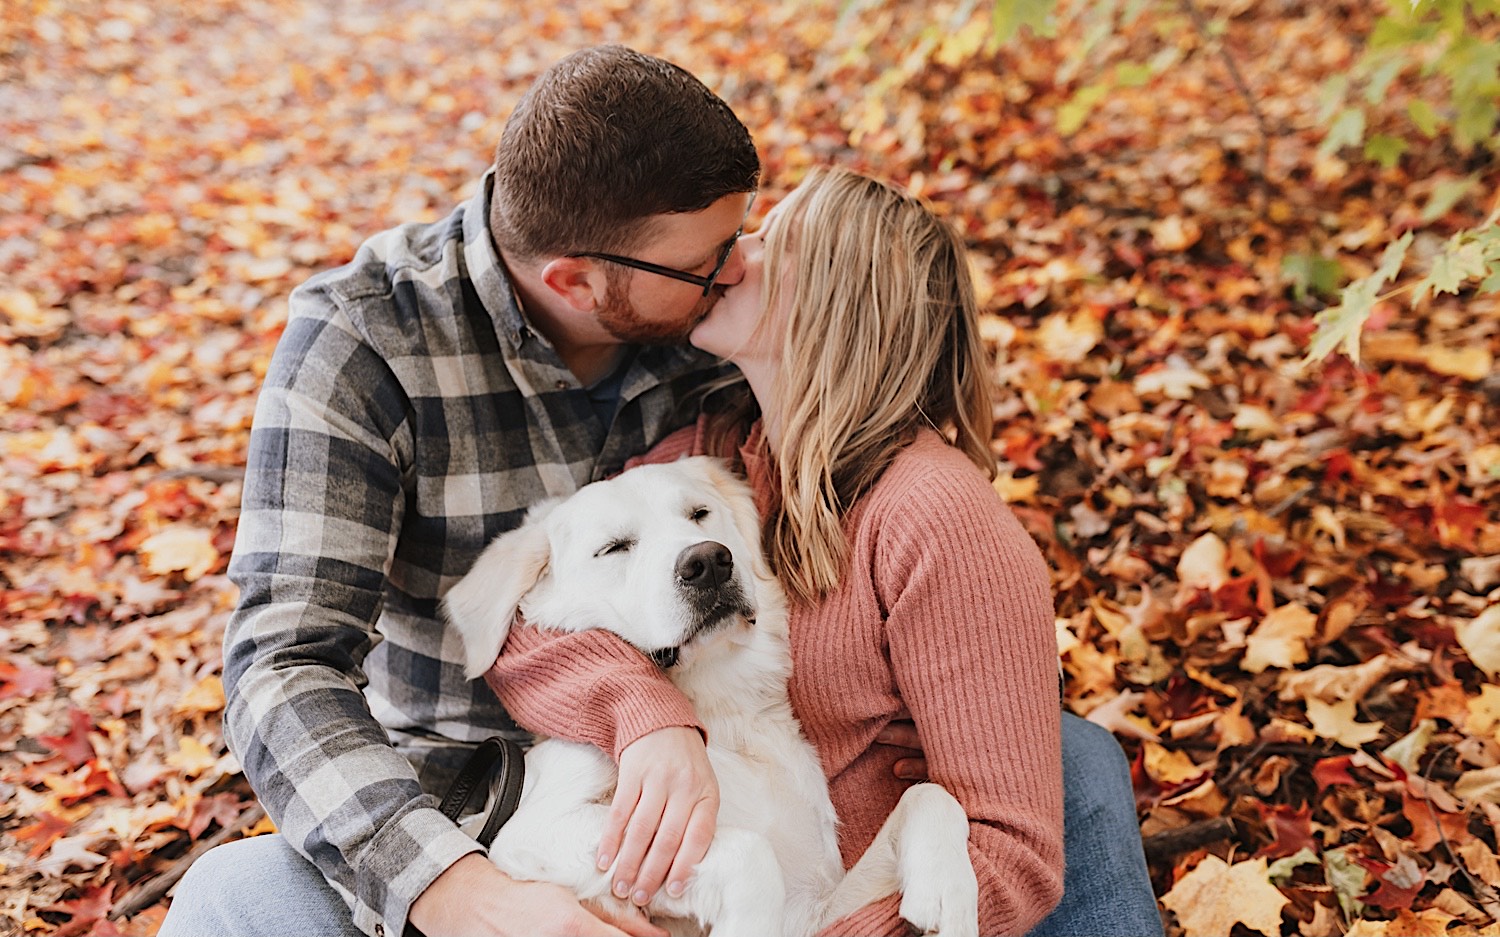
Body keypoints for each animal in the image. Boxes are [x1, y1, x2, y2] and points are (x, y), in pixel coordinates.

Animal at [441, 458, 984, 935]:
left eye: (699, 514)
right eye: (614, 548)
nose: (707, 561)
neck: (721, 719)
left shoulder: (810, 910)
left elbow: (929, 793)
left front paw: (949, 897)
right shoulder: (539, 829)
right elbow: (748, 852)